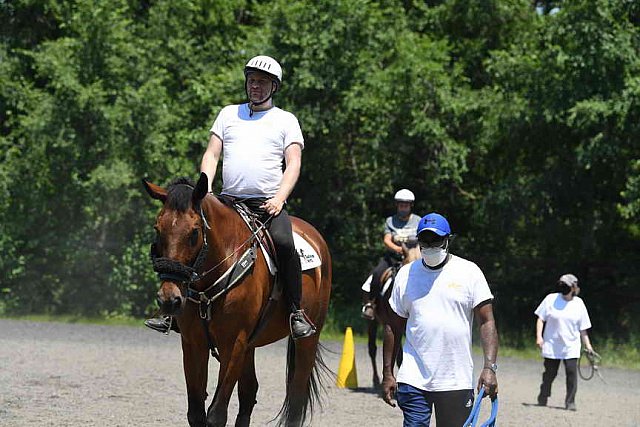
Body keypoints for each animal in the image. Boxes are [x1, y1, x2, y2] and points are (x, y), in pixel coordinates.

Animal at [143, 172, 332, 426]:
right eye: (158, 229)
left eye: (194, 232)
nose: (169, 299)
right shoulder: (194, 343)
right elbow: (196, 413)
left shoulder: (233, 344)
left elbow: (216, 414)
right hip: (249, 345)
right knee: (249, 392)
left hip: (308, 340)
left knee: (296, 396)